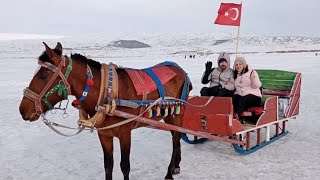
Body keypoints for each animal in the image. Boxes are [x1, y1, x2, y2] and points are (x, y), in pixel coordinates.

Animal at [18, 42, 191, 180]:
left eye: (43, 75)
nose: (22, 109)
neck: (106, 93)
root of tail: (181, 70)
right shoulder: (104, 134)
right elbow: (108, 165)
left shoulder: (125, 134)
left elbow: (125, 166)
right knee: (176, 136)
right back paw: (176, 166)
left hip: (177, 114)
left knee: (176, 139)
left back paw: (169, 173)